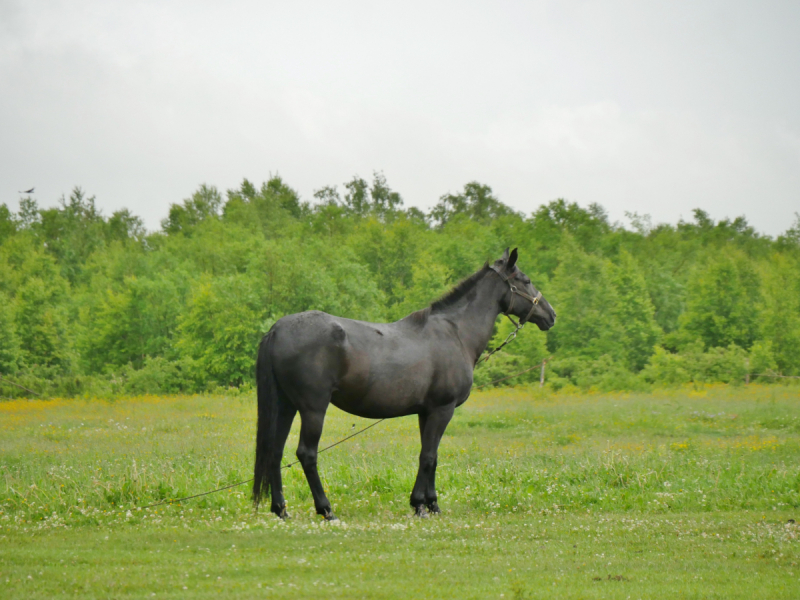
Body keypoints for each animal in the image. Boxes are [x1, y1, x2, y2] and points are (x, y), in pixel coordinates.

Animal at [253, 246, 552, 516]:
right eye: (525, 280)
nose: (551, 314)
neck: (455, 333)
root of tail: (277, 329)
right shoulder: (442, 409)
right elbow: (428, 456)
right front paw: (422, 505)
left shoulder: (426, 412)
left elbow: (430, 456)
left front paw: (428, 503)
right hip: (313, 408)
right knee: (307, 454)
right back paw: (325, 509)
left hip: (286, 406)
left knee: (274, 452)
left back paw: (280, 508)